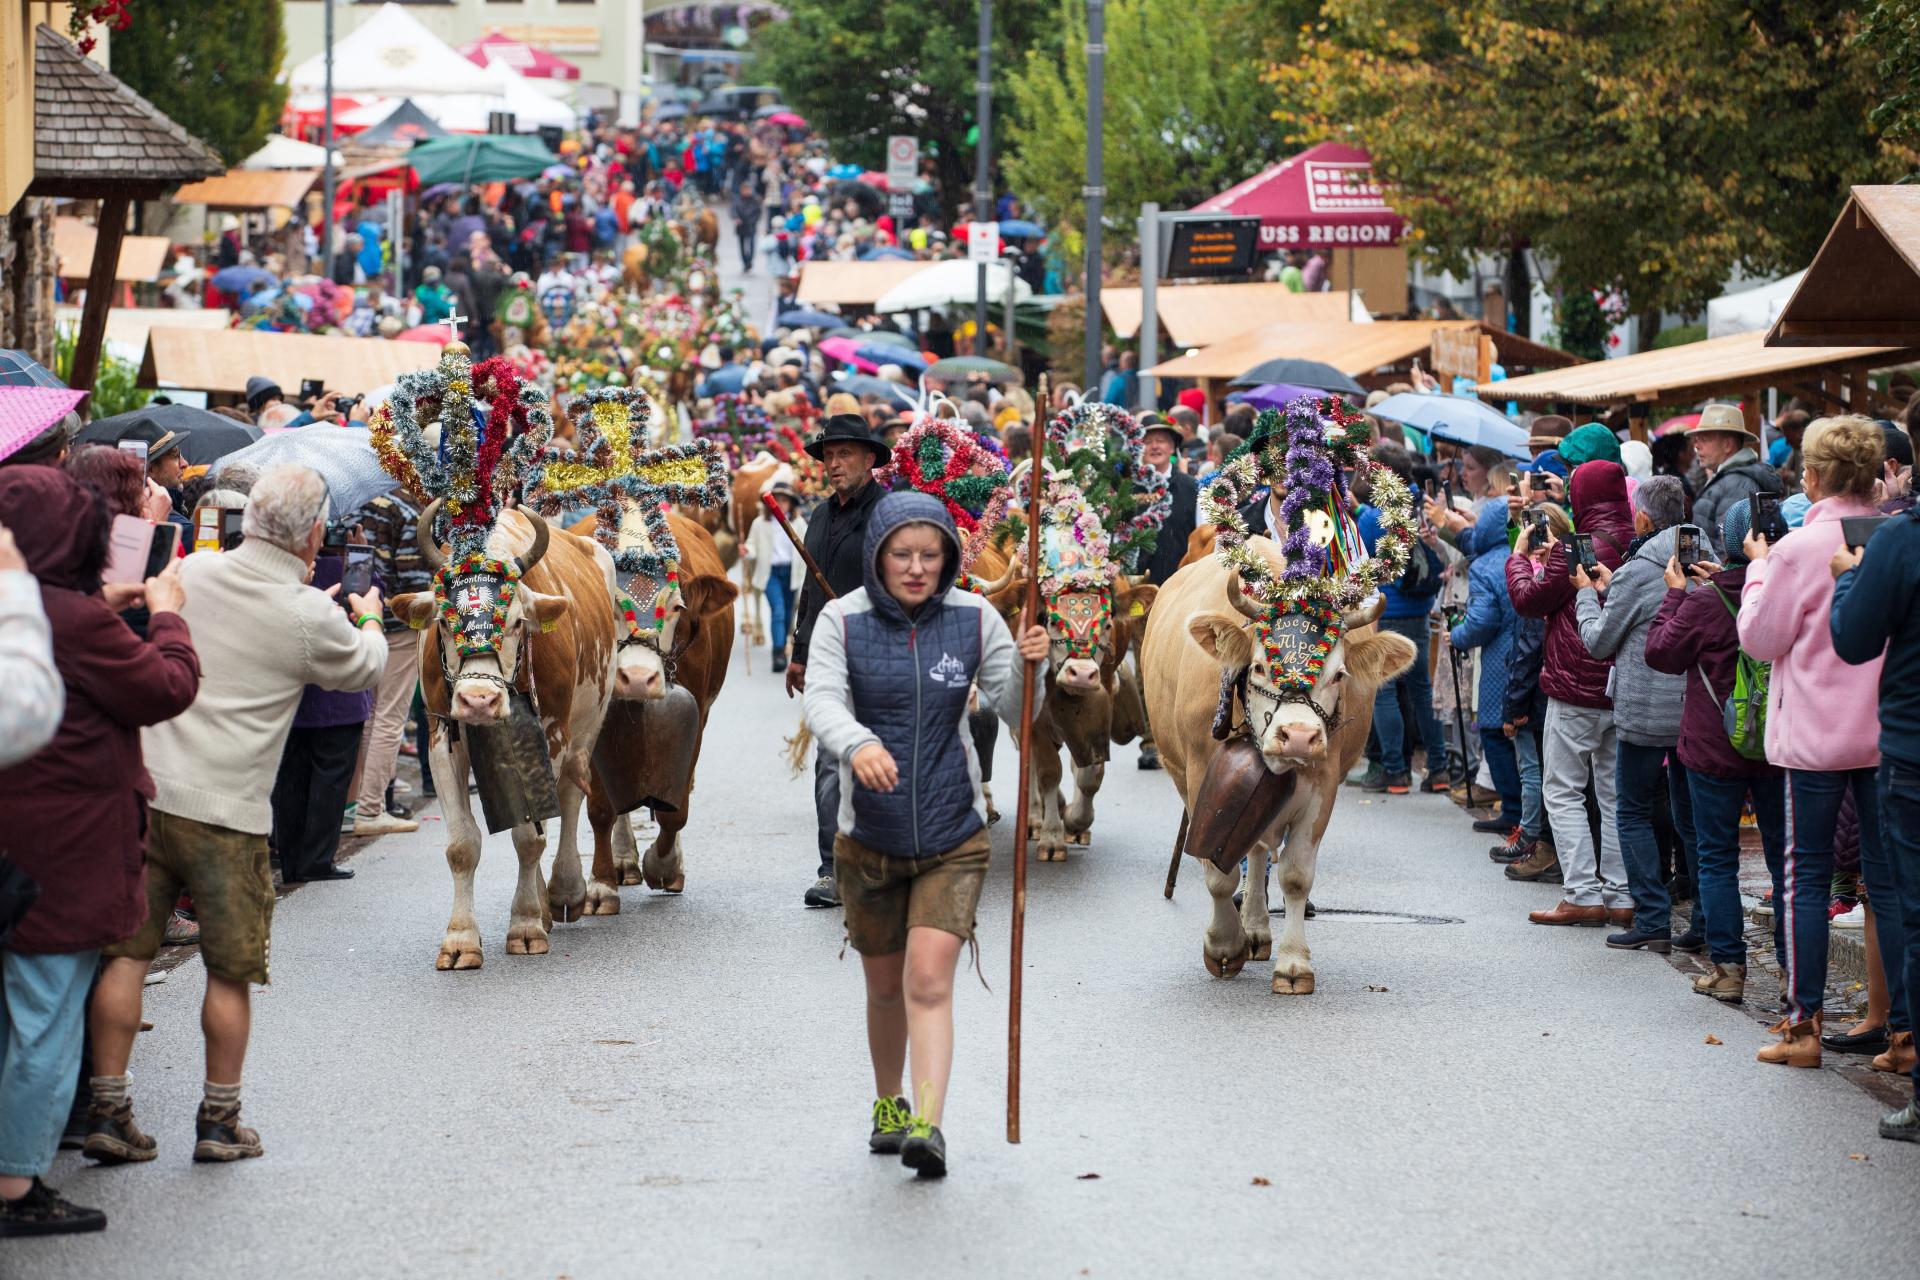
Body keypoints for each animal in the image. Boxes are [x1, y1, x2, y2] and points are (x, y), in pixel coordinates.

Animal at [389, 506, 622, 967]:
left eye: (515, 622)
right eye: (445, 623)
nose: (479, 699)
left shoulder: (551, 733)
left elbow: (529, 838)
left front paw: (527, 925)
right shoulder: (441, 739)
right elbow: (462, 845)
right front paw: (460, 939)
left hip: (587, 726)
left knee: (570, 800)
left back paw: (564, 892)